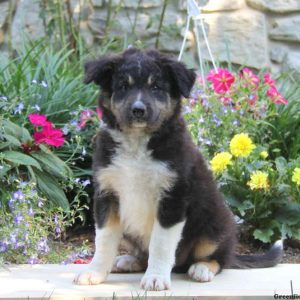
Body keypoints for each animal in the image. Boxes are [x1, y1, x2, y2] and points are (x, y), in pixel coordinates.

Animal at [74, 48, 282, 290]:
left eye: (156, 87)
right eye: (123, 86)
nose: (138, 110)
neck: (137, 143)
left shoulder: (173, 197)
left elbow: (160, 244)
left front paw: (155, 278)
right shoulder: (107, 195)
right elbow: (104, 240)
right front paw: (94, 273)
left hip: (214, 225)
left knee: (220, 258)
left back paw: (201, 268)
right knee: (143, 254)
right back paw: (128, 261)